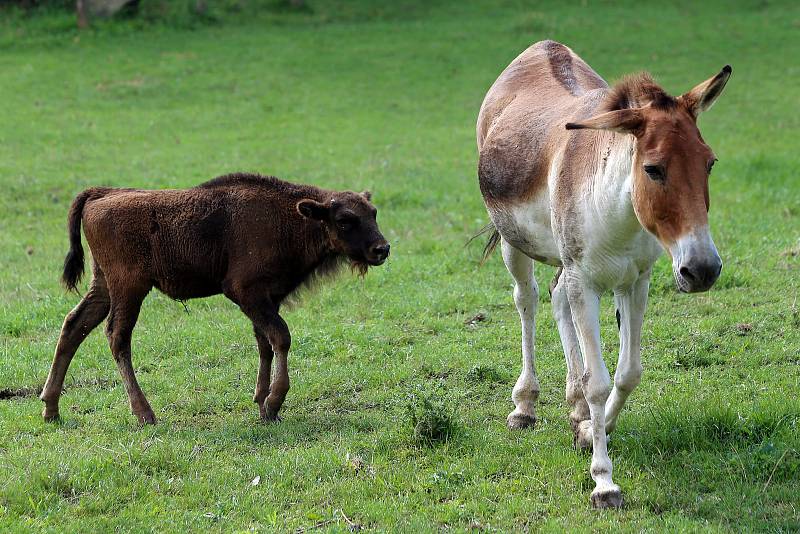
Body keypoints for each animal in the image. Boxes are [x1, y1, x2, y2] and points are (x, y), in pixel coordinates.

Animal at [41, 175, 390, 428]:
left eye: (372, 213)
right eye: (345, 219)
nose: (382, 249)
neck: (292, 216)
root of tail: (100, 194)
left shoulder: (268, 299)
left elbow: (265, 343)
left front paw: (262, 403)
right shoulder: (246, 292)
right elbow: (281, 337)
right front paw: (273, 403)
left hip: (103, 286)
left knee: (74, 326)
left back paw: (51, 408)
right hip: (129, 289)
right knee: (117, 337)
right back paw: (144, 414)